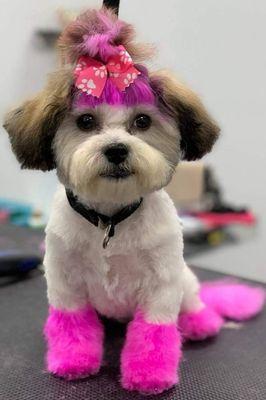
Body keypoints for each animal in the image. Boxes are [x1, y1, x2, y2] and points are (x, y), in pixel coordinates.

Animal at [3, 7, 262, 396]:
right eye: (85, 121)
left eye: (142, 120)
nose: (116, 149)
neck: (110, 219)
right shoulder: (66, 284)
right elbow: (72, 325)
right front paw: (73, 362)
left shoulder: (160, 288)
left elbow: (153, 334)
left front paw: (149, 376)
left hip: (184, 281)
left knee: (196, 302)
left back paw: (201, 323)